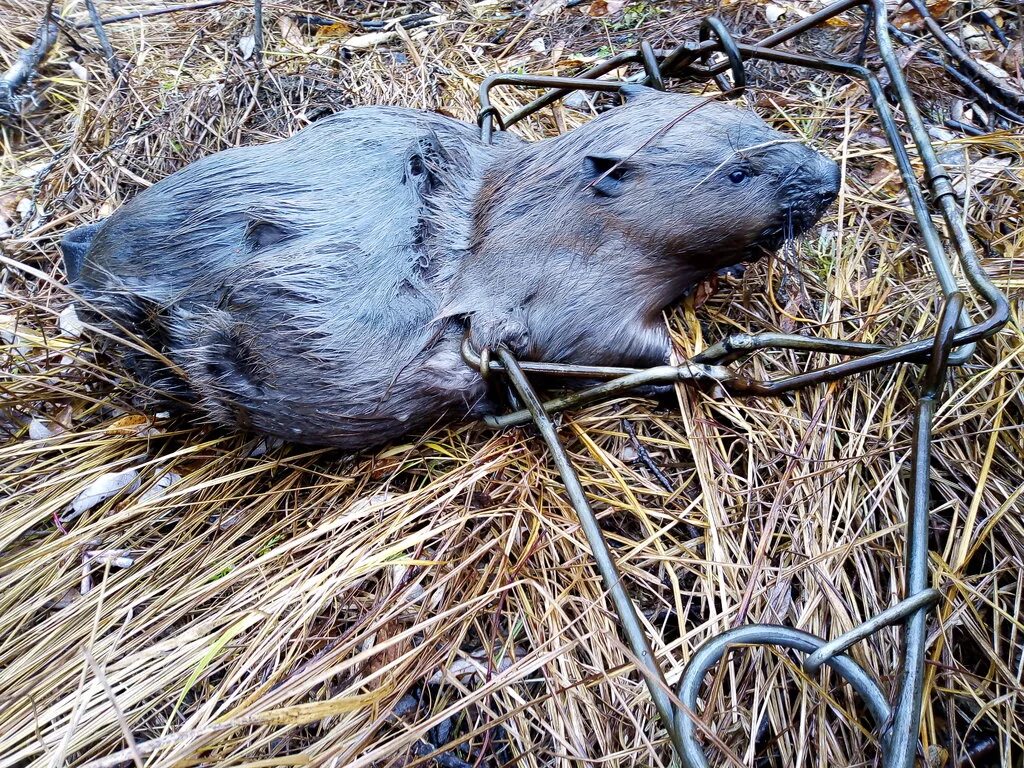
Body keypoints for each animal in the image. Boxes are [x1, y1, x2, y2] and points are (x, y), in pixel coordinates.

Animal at [61, 83, 839, 448]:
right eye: (737, 173)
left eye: (761, 124)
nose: (830, 176)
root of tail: (86, 258)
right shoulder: (568, 299)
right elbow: (614, 346)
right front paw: (705, 363)